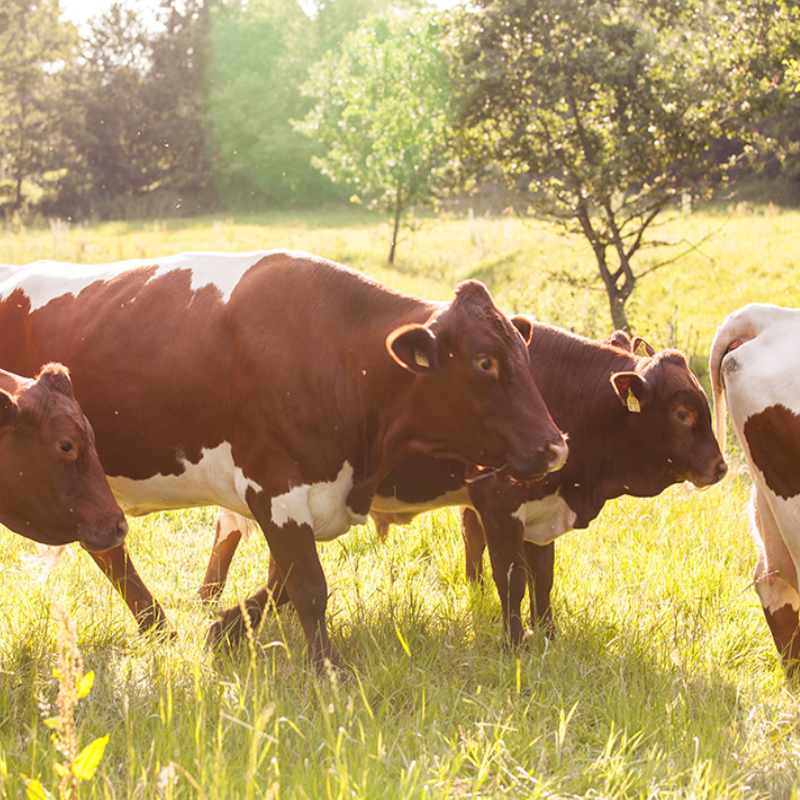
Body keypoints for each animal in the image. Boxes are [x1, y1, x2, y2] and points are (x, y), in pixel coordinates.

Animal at [202, 322, 732, 648]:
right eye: (682, 413)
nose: (721, 466)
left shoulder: (541, 510)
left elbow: (543, 579)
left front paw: (548, 636)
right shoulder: (499, 504)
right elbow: (512, 579)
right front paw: (516, 645)